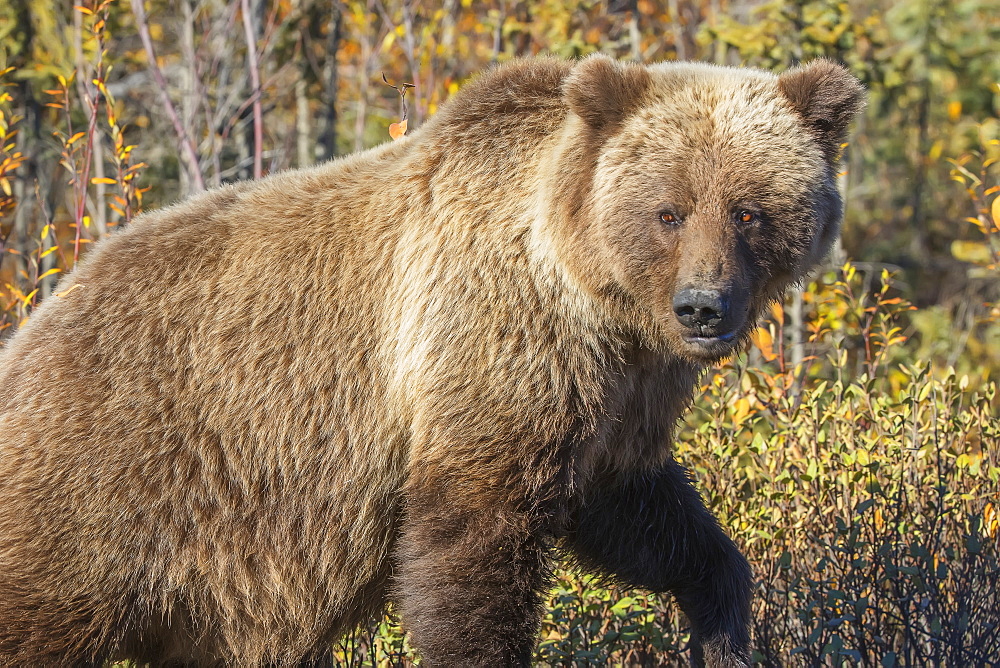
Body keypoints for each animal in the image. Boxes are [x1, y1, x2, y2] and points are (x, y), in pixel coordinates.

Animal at [0, 54, 860, 664]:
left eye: (749, 210)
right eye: (669, 211)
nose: (703, 307)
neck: (590, 299)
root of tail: (35, 322)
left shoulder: (616, 398)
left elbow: (645, 514)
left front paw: (722, 624)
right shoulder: (491, 340)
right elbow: (469, 541)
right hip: (108, 481)